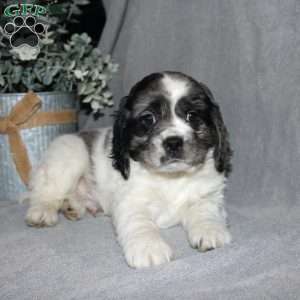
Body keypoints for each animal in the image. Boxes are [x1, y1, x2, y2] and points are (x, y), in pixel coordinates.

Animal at [25, 71, 232, 268]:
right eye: (148, 118)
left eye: (192, 116)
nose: (173, 142)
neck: (171, 178)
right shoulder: (131, 201)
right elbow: (139, 222)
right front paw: (149, 247)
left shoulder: (208, 196)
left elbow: (205, 211)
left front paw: (210, 231)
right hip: (69, 154)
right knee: (45, 192)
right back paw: (43, 212)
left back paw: (72, 207)